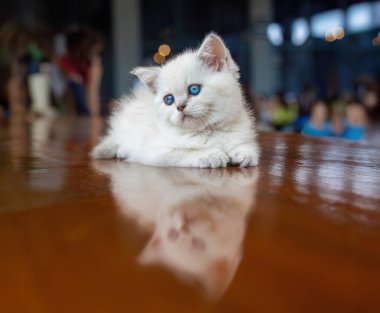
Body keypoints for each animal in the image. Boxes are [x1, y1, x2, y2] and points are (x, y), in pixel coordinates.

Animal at [91, 32, 260, 167]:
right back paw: (122, 150)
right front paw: (211, 155)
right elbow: (181, 153)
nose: (180, 106)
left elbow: (248, 145)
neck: (208, 131)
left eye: (194, 89)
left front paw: (244, 153)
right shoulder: (154, 152)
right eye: (169, 100)